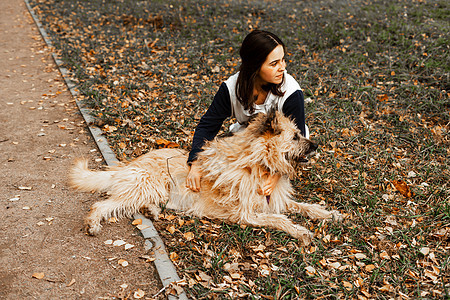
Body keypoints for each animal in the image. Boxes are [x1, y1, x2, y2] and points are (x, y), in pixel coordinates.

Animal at [70, 111, 340, 245]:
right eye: (295, 137)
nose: (316, 145)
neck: (259, 164)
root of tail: (131, 163)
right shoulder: (247, 214)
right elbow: (280, 219)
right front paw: (300, 231)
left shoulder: (274, 200)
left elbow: (304, 206)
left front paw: (329, 214)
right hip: (147, 185)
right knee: (103, 204)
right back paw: (93, 223)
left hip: (154, 190)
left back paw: (152, 211)